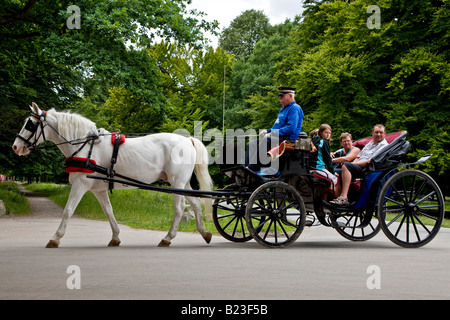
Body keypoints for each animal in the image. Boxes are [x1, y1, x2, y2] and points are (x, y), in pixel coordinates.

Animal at [12, 102, 213, 248]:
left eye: (30, 124)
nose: (15, 146)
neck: (86, 146)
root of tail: (187, 140)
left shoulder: (80, 185)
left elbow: (68, 210)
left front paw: (55, 238)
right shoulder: (98, 190)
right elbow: (109, 211)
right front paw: (115, 237)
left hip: (176, 182)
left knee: (179, 209)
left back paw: (167, 238)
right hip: (183, 183)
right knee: (196, 203)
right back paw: (205, 233)